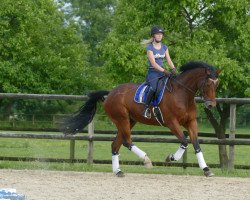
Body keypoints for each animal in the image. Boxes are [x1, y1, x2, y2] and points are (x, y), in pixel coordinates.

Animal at [60, 60, 219, 177]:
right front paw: (170, 158)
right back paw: (146, 160)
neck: (182, 94)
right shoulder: (171, 123)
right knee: (127, 141)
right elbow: (184, 141)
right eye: (208, 83)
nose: (211, 105)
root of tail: (110, 93)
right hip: (122, 119)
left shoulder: (191, 122)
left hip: (129, 121)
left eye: (217, 84)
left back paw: (118, 171)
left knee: (116, 144)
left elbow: (196, 144)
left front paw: (206, 169)